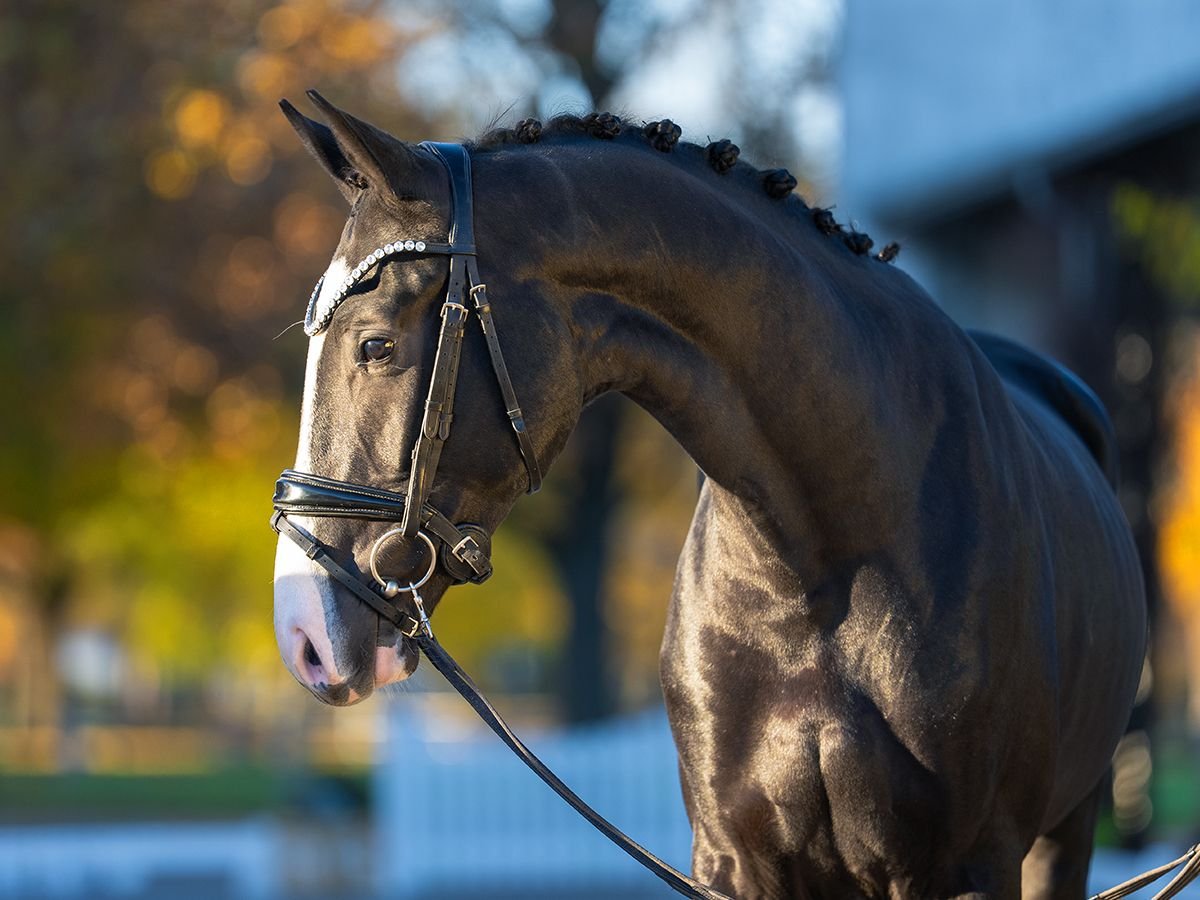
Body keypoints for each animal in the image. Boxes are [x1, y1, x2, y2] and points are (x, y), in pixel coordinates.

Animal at [270, 92, 1146, 899]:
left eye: (374, 344)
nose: (305, 635)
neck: (820, 562)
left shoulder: (966, 867)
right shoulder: (734, 861)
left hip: (1065, 833)